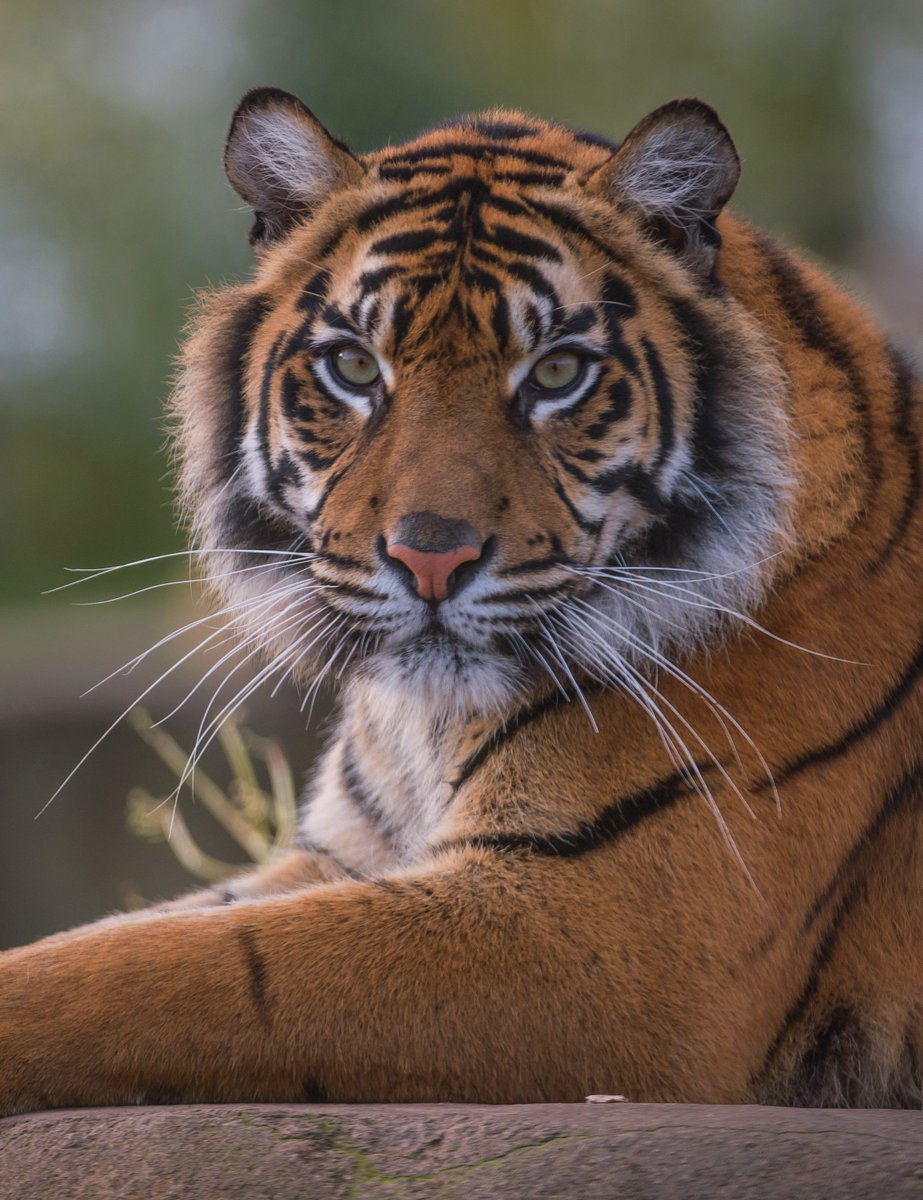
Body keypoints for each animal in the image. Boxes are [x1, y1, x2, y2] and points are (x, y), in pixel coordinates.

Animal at [0, 86, 920, 1116]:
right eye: (354, 369)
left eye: (557, 372)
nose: (429, 557)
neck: (421, 724)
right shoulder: (349, 856)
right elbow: (128, 936)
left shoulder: (605, 927)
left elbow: (166, 972)